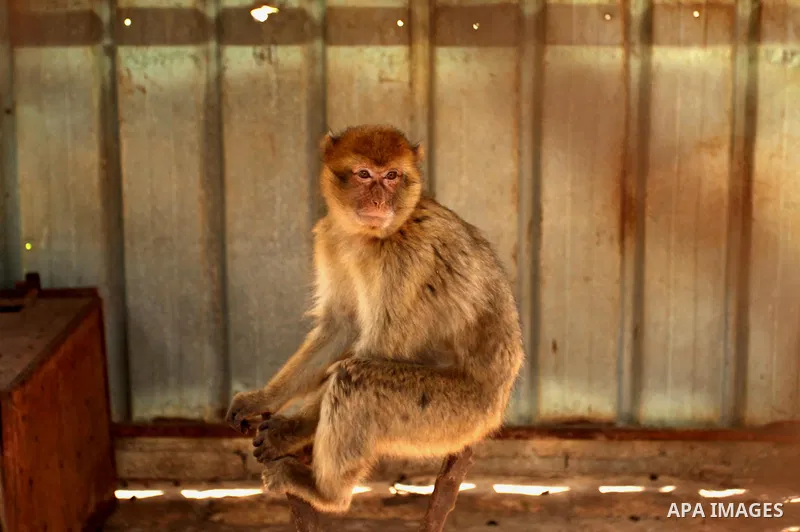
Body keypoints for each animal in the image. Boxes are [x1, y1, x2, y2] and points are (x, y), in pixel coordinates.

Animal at [225, 124, 524, 513]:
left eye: (392, 176)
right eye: (365, 174)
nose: (380, 201)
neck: (371, 237)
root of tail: (496, 410)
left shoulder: (409, 257)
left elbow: (376, 352)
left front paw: (287, 432)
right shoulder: (331, 239)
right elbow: (341, 326)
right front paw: (263, 399)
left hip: (454, 418)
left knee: (357, 379)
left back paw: (325, 493)